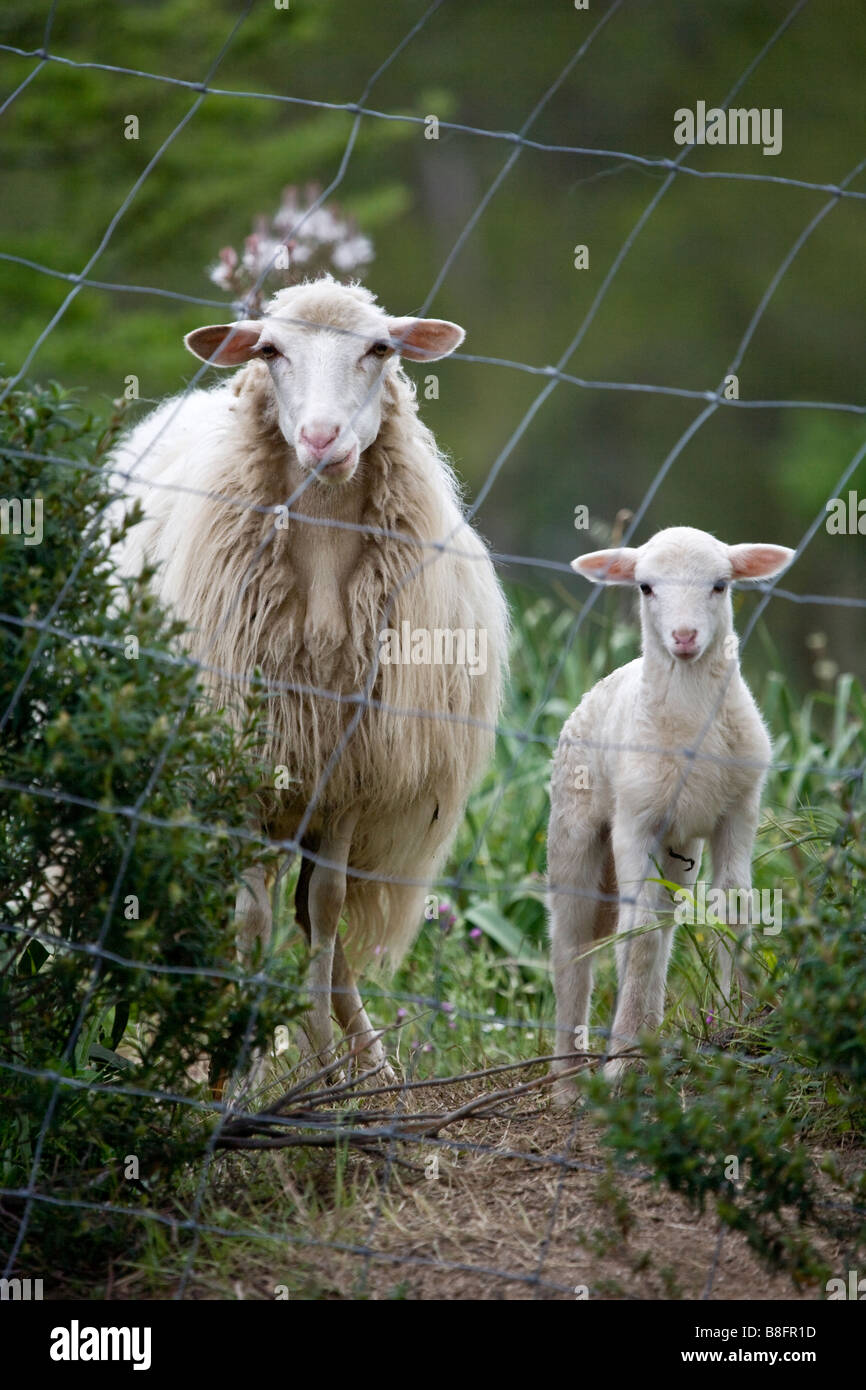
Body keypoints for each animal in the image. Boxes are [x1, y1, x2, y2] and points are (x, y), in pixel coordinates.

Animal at [111, 279, 511, 1084]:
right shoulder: (239, 771)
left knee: (310, 915)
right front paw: (240, 1071)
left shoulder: (351, 775)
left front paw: (327, 1069)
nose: (324, 439)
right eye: (270, 351)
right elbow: (250, 919)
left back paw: (371, 1060)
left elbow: (323, 915)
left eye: (380, 349)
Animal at [547, 522, 795, 1095]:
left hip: (680, 848)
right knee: (572, 946)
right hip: (574, 830)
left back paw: (648, 1029)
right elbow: (634, 936)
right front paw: (621, 1062)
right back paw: (569, 1077)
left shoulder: (738, 812)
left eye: (721, 585)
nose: (684, 637)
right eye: (645, 587)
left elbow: (735, 911)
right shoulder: (634, 822)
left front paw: (740, 1019)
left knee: (661, 925)